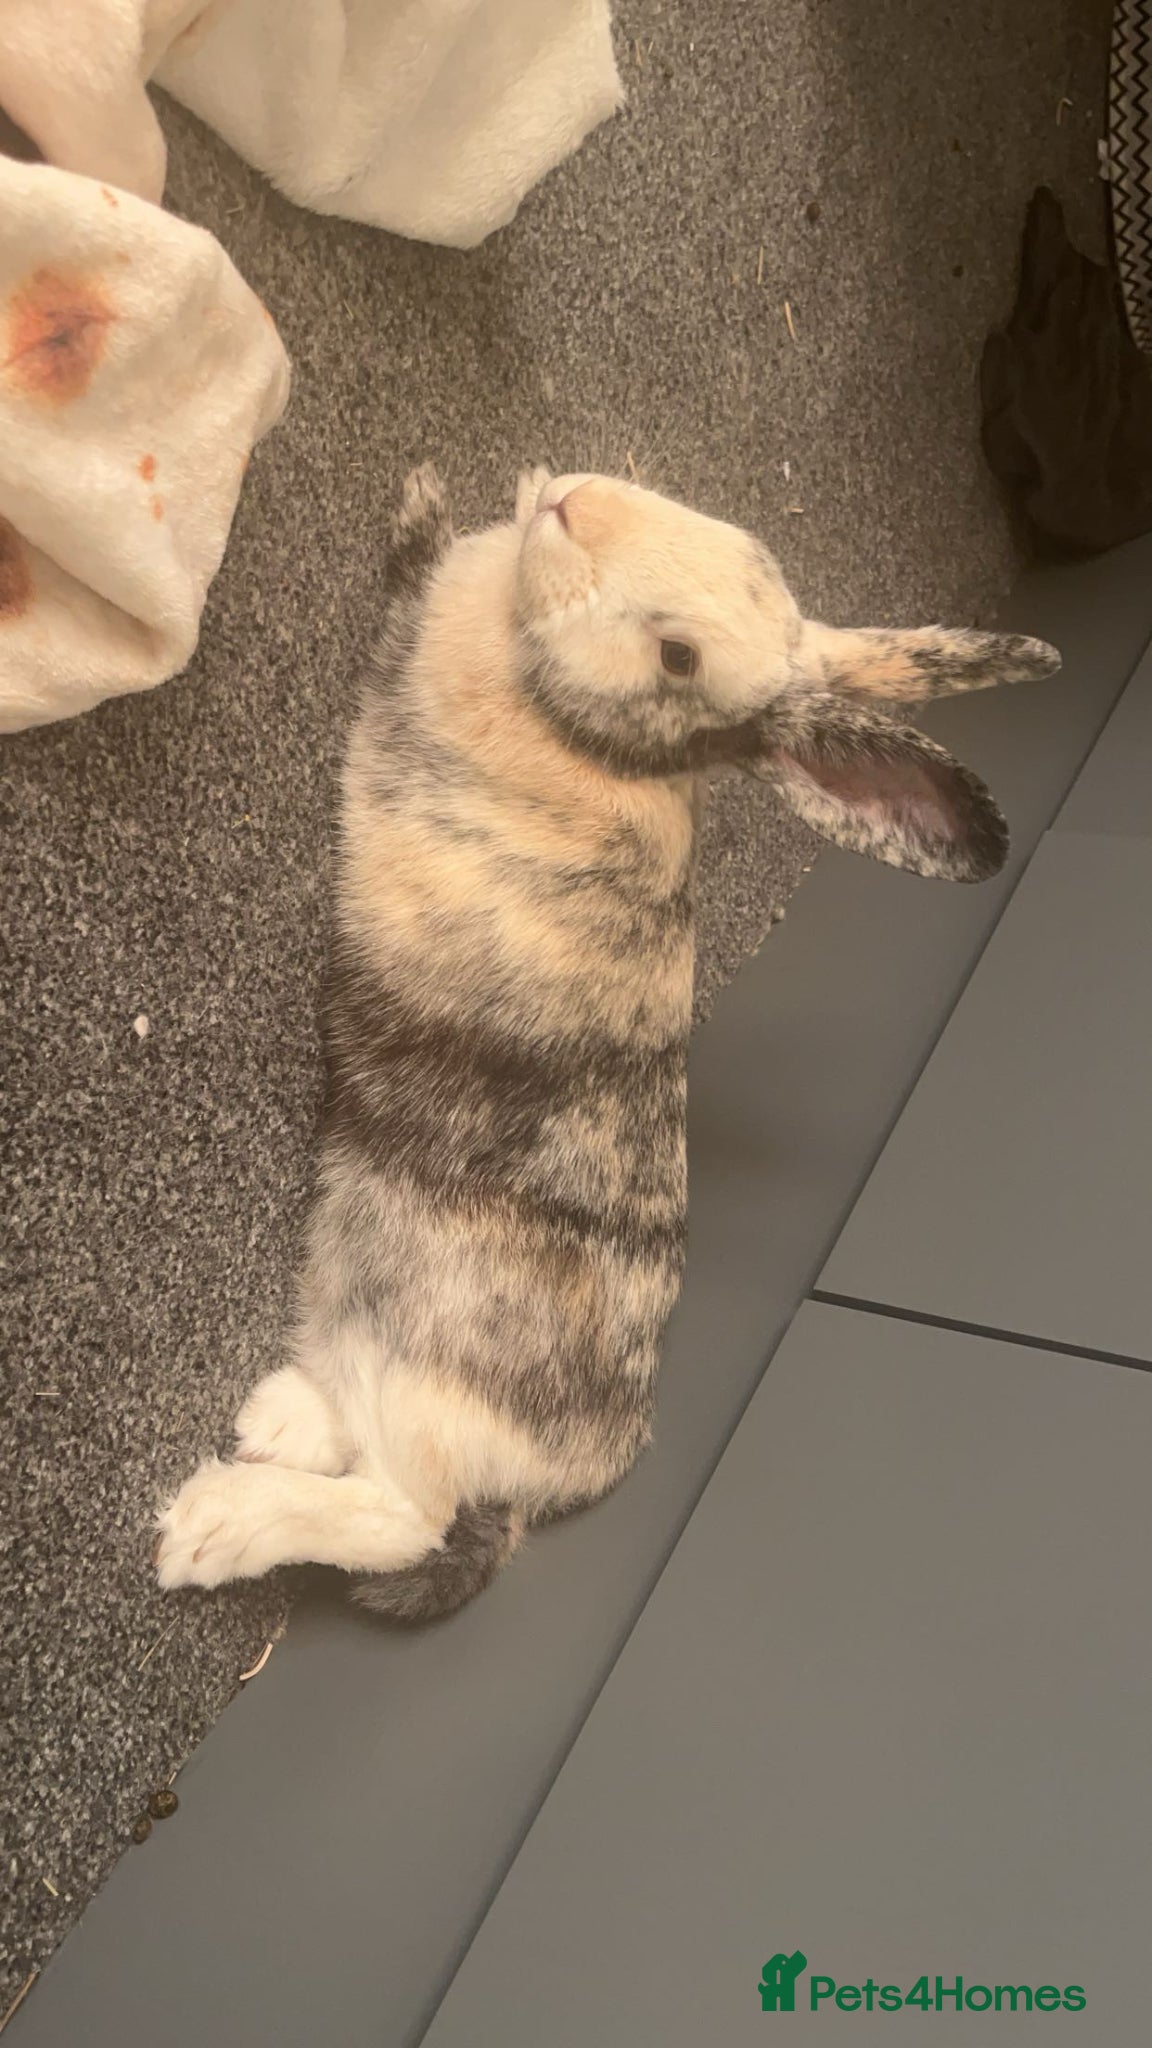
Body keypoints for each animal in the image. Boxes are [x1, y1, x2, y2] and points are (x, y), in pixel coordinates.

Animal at [155, 464, 1059, 1619]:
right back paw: (275, 1417)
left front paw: (417, 502)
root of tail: (559, 1479)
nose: (572, 504)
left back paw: (208, 1523)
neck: (576, 722)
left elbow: (404, 577)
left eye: (679, 657)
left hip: (423, 1390)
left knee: (403, 1514)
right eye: (740, 539)